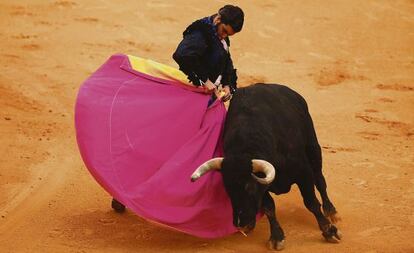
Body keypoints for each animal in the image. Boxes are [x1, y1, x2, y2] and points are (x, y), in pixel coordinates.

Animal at [192, 84, 342, 250]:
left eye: (249, 187)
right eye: (227, 188)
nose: (240, 223)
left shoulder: (303, 172)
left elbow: (311, 202)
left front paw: (329, 231)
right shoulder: (263, 187)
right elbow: (269, 207)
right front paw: (277, 237)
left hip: (313, 147)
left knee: (320, 180)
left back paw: (331, 211)